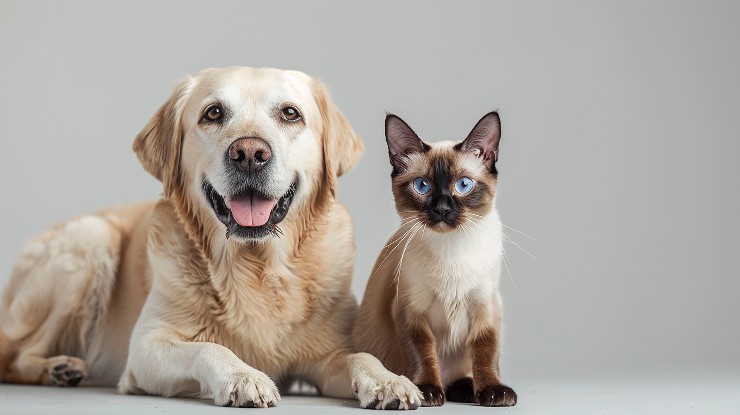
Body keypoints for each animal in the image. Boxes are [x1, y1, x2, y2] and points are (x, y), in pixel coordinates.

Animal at [0, 67, 422, 410]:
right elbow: (209, 347)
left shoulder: (329, 353)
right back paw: (57, 368)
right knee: (14, 354)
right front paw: (243, 376)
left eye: (290, 113)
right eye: (213, 112)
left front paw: (389, 381)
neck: (256, 266)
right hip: (90, 239)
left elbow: (362, 356)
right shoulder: (146, 348)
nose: (250, 153)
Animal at [352, 112, 516, 408]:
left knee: (461, 375)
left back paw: (466, 389)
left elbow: (486, 353)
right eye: (422, 186)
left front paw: (493, 391)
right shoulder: (411, 312)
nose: (441, 209)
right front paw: (427, 391)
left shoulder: (486, 308)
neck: (451, 250)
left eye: (463, 185)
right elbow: (423, 354)